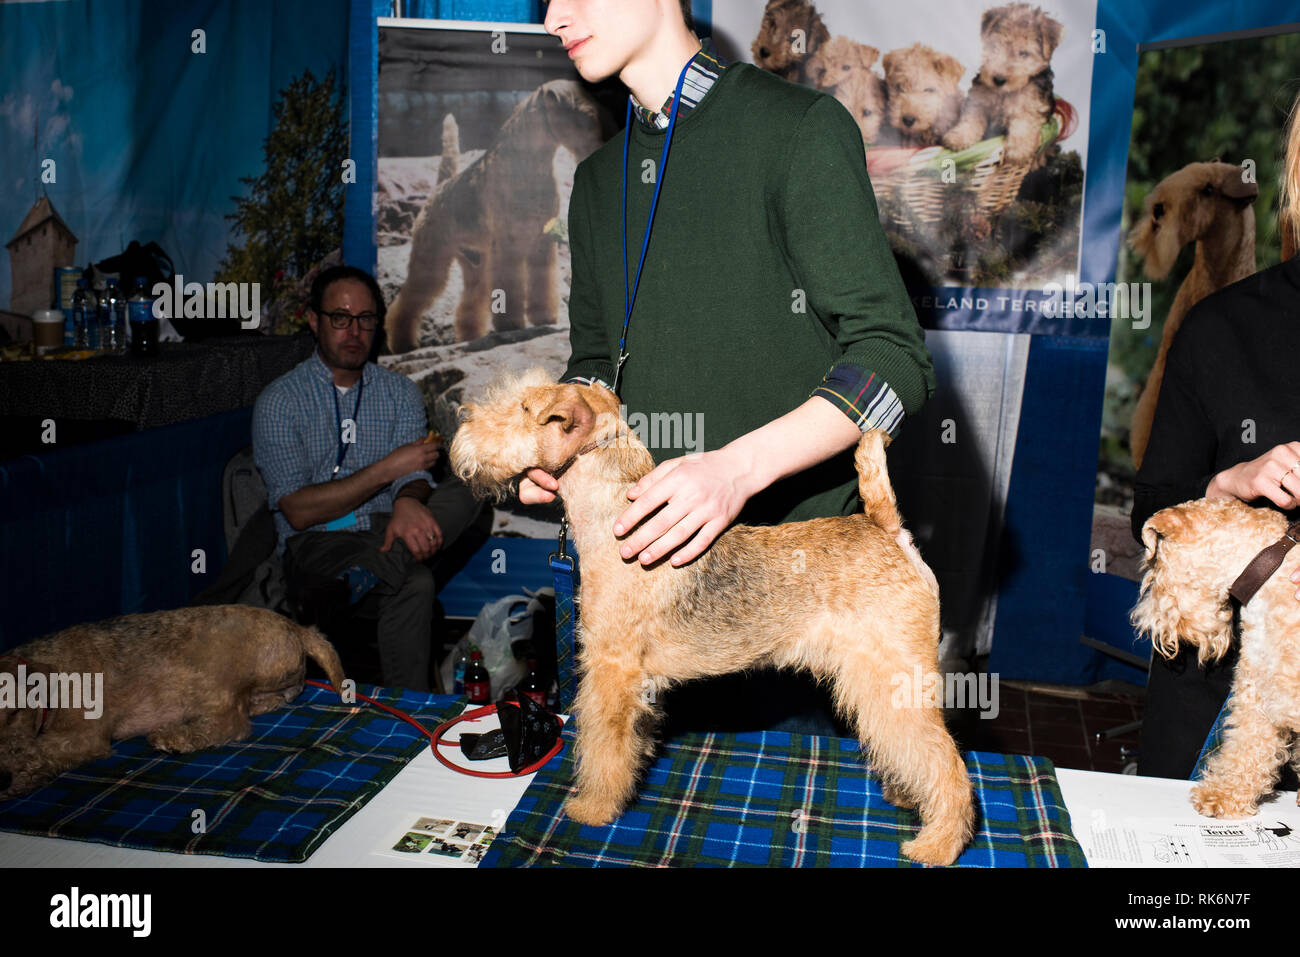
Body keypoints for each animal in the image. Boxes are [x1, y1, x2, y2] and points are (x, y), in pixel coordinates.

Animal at [0, 605, 345, 800]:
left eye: (15, 710)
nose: (5, 780)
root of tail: (296, 628)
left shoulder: (86, 735)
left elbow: (42, 747)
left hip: (210, 673)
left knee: (230, 724)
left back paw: (173, 738)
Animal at [452, 369, 972, 863]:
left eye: (524, 407)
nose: (460, 427)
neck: (614, 520)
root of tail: (887, 528)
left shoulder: (611, 670)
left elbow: (603, 747)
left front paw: (593, 808)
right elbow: (630, 742)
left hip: (894, 676)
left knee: (945, 762)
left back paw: (937, 845)